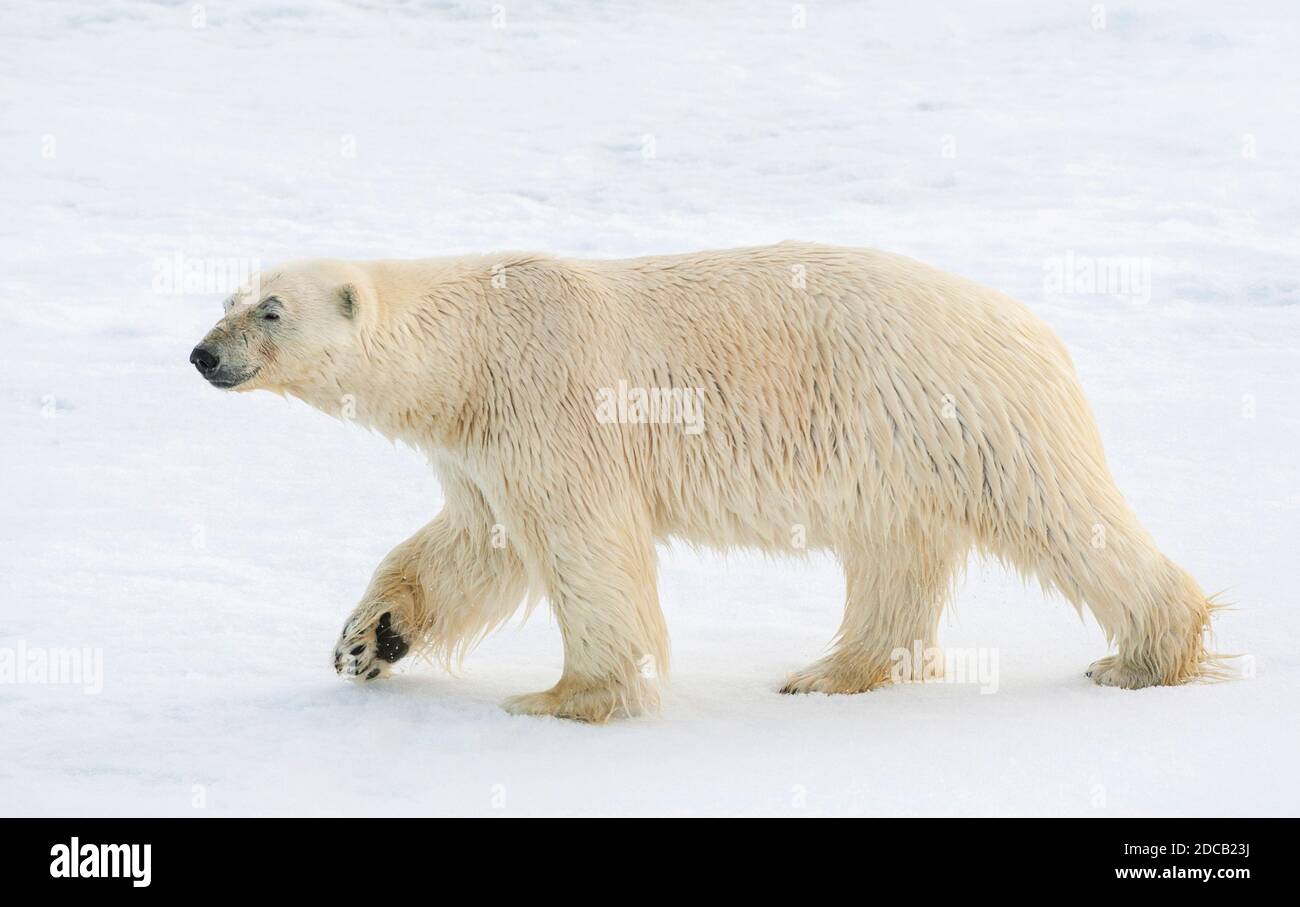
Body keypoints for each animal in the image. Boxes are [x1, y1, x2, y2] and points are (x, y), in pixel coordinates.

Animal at [189, 241, 1216, 722]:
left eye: (269, 310)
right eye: (227, 297)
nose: (203, 354)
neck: (474, 346)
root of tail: (1036, 326)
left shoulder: (554, 402)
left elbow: (584, 548)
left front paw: (571, 697)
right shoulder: (484, 445)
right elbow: (475, 545)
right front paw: (367, 639)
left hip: (961, 412)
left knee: (1063, 517)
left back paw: (1146, 654)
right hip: (897, 451)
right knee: (895, 556)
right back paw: (828, 672)